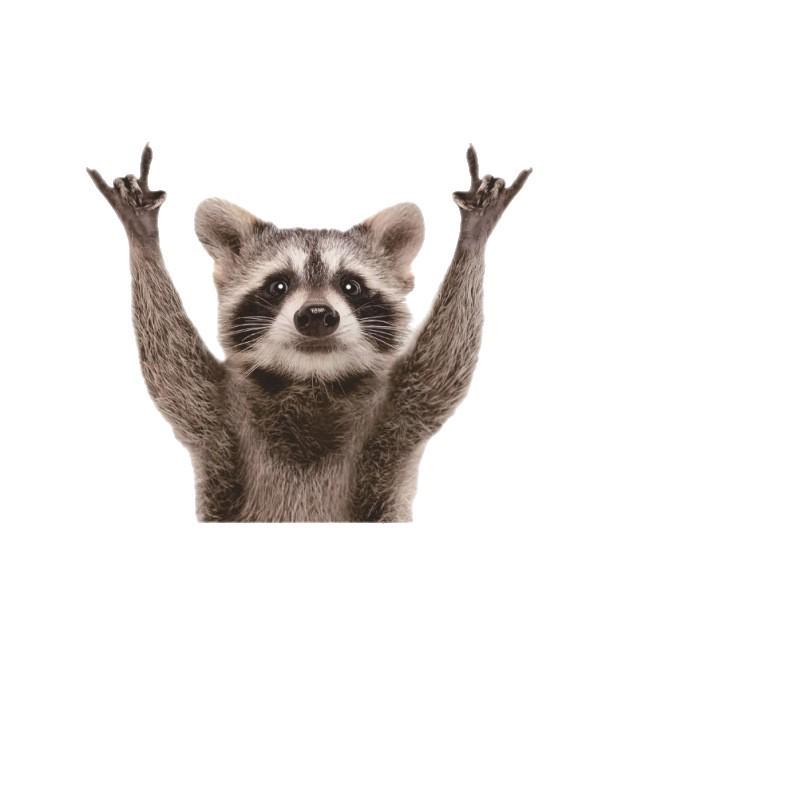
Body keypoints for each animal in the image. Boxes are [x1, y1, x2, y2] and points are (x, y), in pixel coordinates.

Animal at [87, 145, 531, 521]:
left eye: (351, 286)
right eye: (278, 285)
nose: (317, 315)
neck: (311, 379)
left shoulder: (397, 414)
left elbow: (444, 365)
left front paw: (473, 236)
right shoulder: (217, 415)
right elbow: (170, 367)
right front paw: (143, 237)